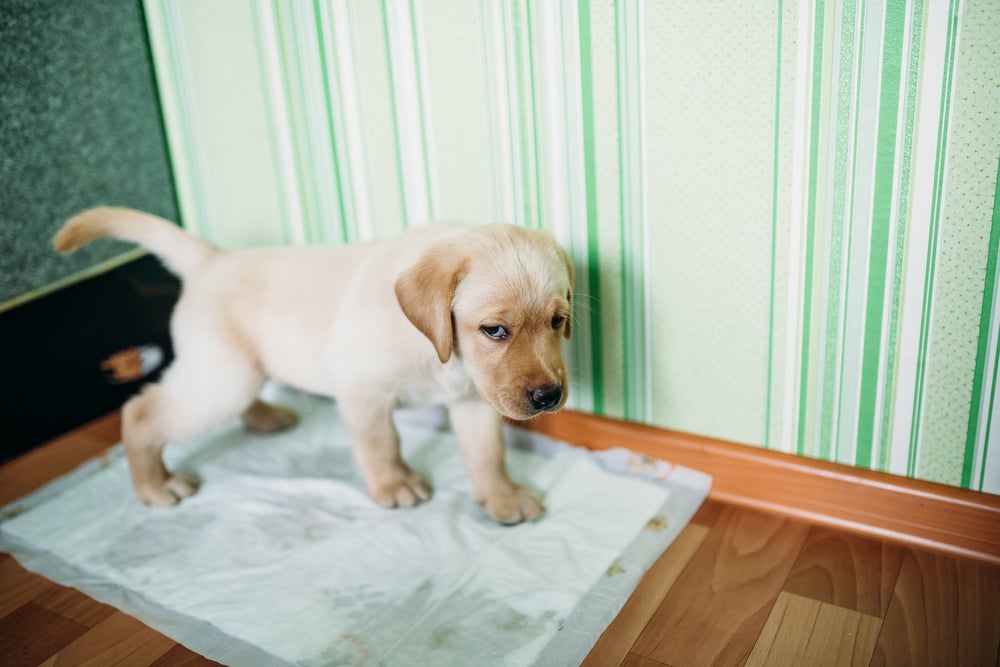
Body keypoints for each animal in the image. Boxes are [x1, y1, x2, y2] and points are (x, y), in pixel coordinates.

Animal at [54, 207, 572, 520]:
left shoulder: (473, 399)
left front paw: (502, 496)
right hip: (222, 378)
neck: (441, 352)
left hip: (237, 370)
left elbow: (488, 454)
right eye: (495, 330)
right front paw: (395, 484)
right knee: (140, 413)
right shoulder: (362, 391)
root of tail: (213, 261)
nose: (549, 396)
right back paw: (155, 487)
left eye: (558, 321)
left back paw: (264, 418)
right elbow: (382, 443)